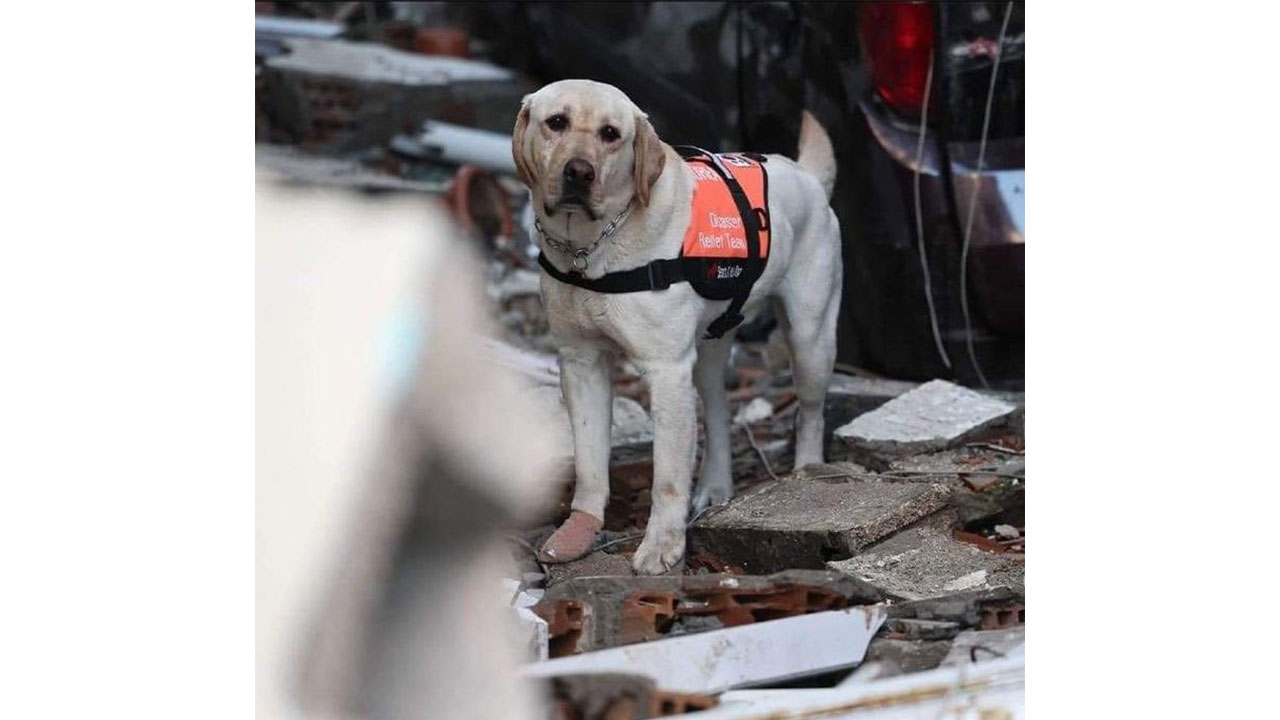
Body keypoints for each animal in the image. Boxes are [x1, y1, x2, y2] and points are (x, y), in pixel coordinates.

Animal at [509, 78, 839, 571]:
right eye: (557, 122)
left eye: (611, 133)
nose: (579, 173)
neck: (592, 248)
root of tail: (806, 175)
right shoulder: (581, 363)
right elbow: (589, 461)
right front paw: (579, 531)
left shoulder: (665, 372)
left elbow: (667, 474)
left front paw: (662, 545)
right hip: (709, 350)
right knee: (718, 414)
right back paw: (716, 486)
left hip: (810, 338)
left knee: (811, 411)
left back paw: (806, 472)